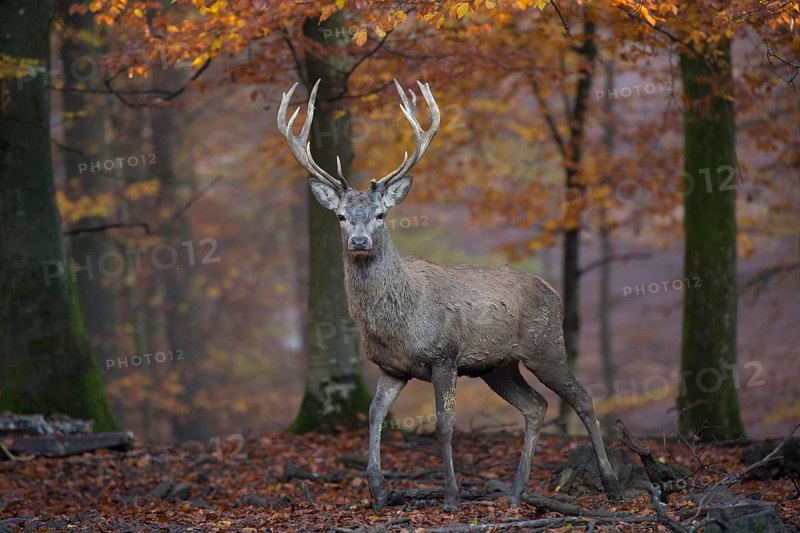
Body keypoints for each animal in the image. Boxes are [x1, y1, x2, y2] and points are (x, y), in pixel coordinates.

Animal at [278, 79, 622, 512]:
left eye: (380, 215)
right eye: (341, 216)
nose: (358, 241)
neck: (398, 323)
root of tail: (552, 291)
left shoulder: (445, 355)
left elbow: (444, 425)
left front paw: (452, 496)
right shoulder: (391, 367)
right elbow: (374, 415)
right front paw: (378, 491)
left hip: (546, 345)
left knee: (584, 397)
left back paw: (610, 484)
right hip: (499, 366)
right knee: (536, 406)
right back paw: (516, 493)